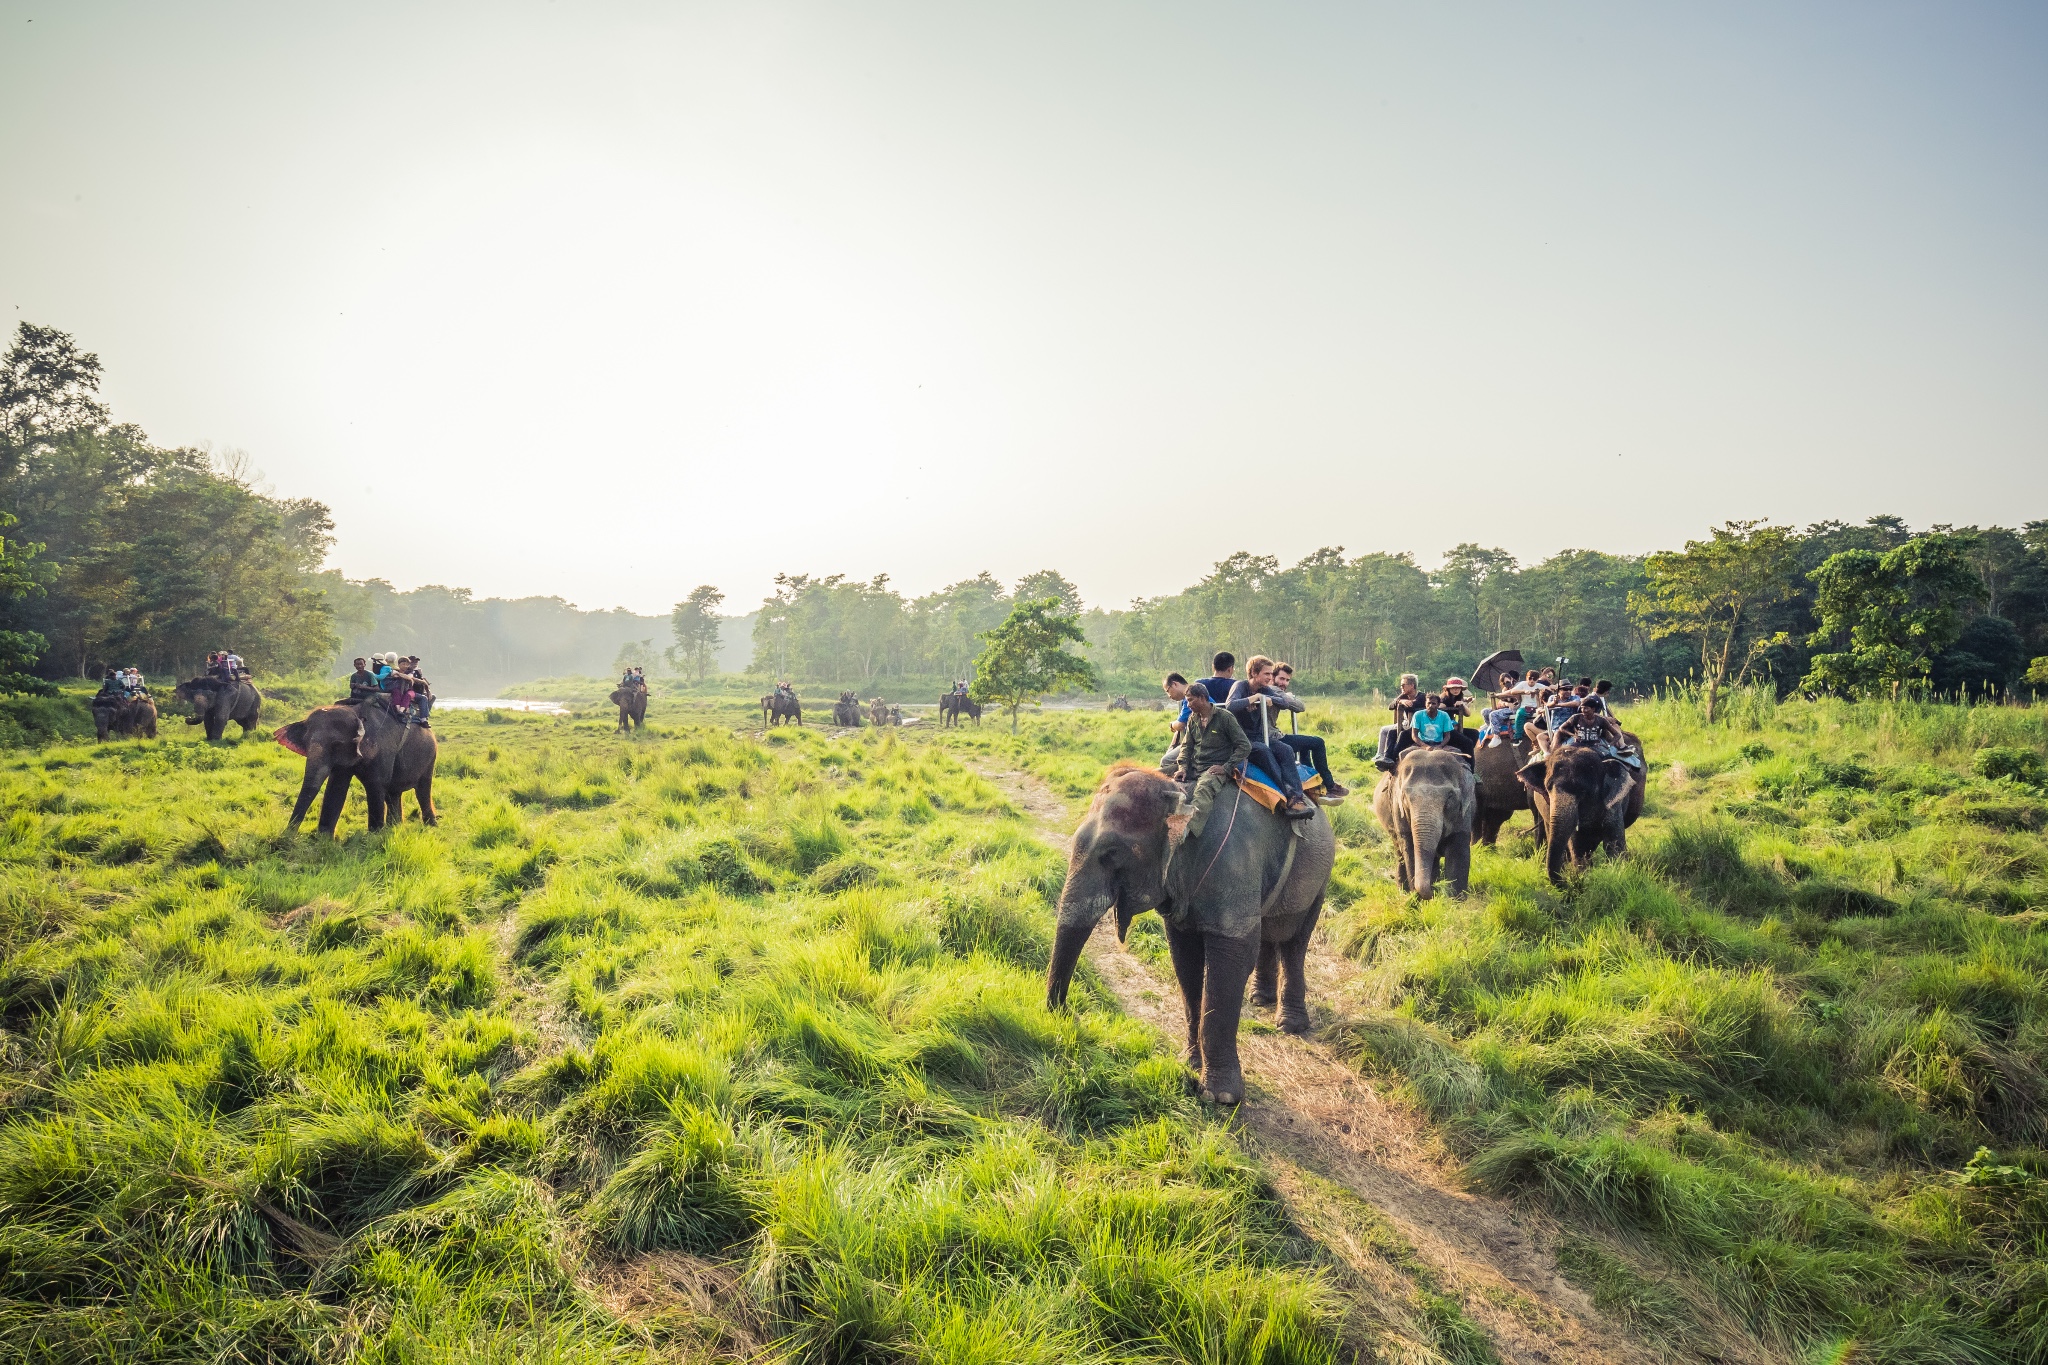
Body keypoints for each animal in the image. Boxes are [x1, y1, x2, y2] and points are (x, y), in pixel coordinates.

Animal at [280, 703, 440, 834]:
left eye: (336, 745)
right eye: (306, 742)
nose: (286, 836)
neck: (357, 713)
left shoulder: (382, 749)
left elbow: (376, 785)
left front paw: (374, 835)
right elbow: (337, 787)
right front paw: (324, 838)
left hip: (430, 756)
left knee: (422, 790)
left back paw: (431, 825)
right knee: (393, 793)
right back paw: (395, 826)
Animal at [1048, 769, 1335, 1113]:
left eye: (1111, 854)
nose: (1069, 1015)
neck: (1183, 795)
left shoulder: (1233, 867)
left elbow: (1232, 958)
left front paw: (1220, 1097)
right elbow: (1185, 958)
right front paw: (1191, 1065)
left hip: (1320, 876)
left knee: (1295, 941)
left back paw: (1289, 1025)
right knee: (1268, 932)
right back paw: (1259, 999)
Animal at [1376, 749, 1474, 896]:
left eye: (1450, 796)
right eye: (1404, 797)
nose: (1434, 890)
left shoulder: (1464, 812)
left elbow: (1458, 851)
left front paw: (1455, 899)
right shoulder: (1398, 809)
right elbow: (1410, 850)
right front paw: (1417, 897)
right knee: (1399, 852)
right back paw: (1403, 891)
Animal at [1523, 736, 1646, 888]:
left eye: (1582, 791)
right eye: (1548, 789)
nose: (1566, 883)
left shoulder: (1614, 801)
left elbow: (1614, 843)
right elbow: (1577, 845)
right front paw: (1583, 879)